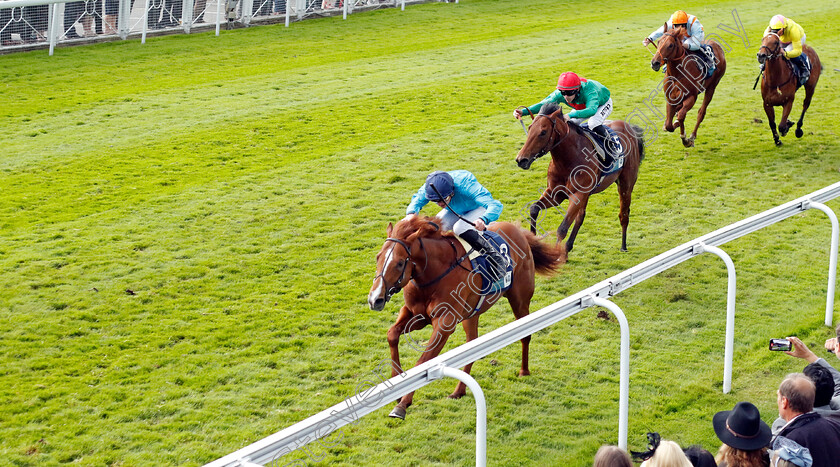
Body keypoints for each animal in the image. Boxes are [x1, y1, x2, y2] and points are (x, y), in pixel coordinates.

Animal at [370, 217, 560, 420]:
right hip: (472, 314)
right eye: (378, 257)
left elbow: (423, 362)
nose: (375, 299)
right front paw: (396, 385)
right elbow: (392, 334)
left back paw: (524, 371)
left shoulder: (445, 323)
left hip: (520, 300)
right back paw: (459, 391)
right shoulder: (415, 314)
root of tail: (519, 231)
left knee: (525, 335)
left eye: (399, 263)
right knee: (472, 344)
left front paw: (403, 404)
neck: (434, 273)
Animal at [512, 102, 644, 264]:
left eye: (543, 132)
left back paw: (623, 246)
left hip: (626, 184)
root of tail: (629, 128)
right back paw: (567, 250)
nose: (521, 160)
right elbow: (534, 209)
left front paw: (557, 257)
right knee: (580, 217)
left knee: (624, 214)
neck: (567, 161)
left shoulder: (577, 194)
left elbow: (562, 228)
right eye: (530, 128)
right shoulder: (556, 193)